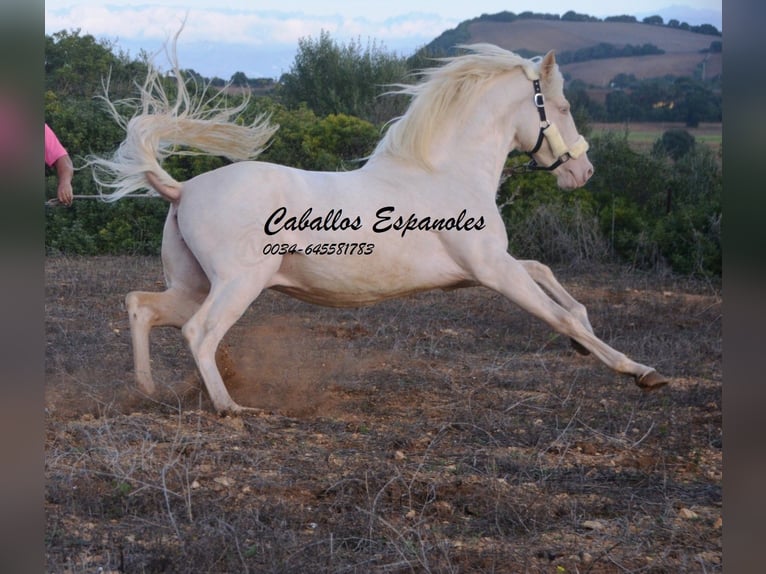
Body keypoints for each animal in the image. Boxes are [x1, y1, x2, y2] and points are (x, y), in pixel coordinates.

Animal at [88, 42, 664, 416]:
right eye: (562, 107)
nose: (581, 172)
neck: (443, 171)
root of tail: (182, 190)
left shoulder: (487, 268)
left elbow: (553, 282)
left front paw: (589, 342)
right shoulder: (493, 271)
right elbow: (557, 314)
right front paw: (640, 372)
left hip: (194, 284)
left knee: (142, 306)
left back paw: (147, 391)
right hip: (237, 284)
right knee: (198, 332)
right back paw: (232, 408)